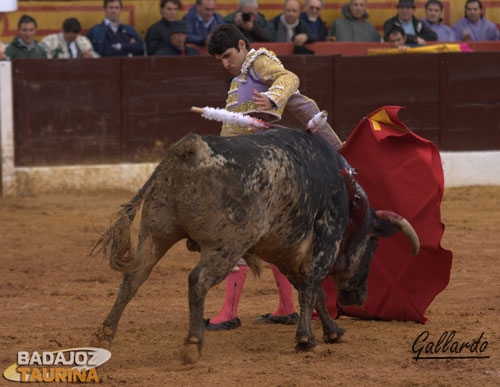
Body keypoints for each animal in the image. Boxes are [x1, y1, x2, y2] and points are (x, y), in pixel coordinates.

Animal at [92, 127, 420, 364]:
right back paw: (193, 344)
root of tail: (194, 149)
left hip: (155, 234)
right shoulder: (324, 242)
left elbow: (310, 292)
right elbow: (311, 287)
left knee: (134, 278)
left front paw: (334, 332)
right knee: (197, 281)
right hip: (226, 245)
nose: (358, 298)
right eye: (374, 246)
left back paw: (105, 333)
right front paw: (306, 340)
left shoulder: (286, 250)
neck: (347, 194)